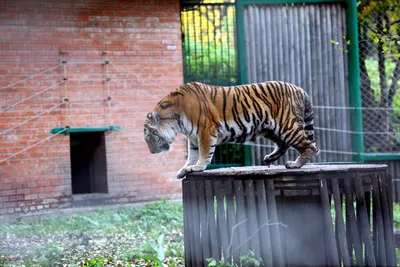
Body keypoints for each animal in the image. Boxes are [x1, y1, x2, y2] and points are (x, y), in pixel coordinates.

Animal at [144, 80, 318, 179]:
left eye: (150, 137)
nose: (151, 152)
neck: (177, 119)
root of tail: (300, 89)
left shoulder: (205, 131)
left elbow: (204, 153)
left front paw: (198, 167)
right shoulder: (192, 137)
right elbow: (192, 155)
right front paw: (185, 169)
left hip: (287, 125)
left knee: (310, 146)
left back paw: (295, 165)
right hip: (270, 129)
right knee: (284, 144)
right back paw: (269, 158)